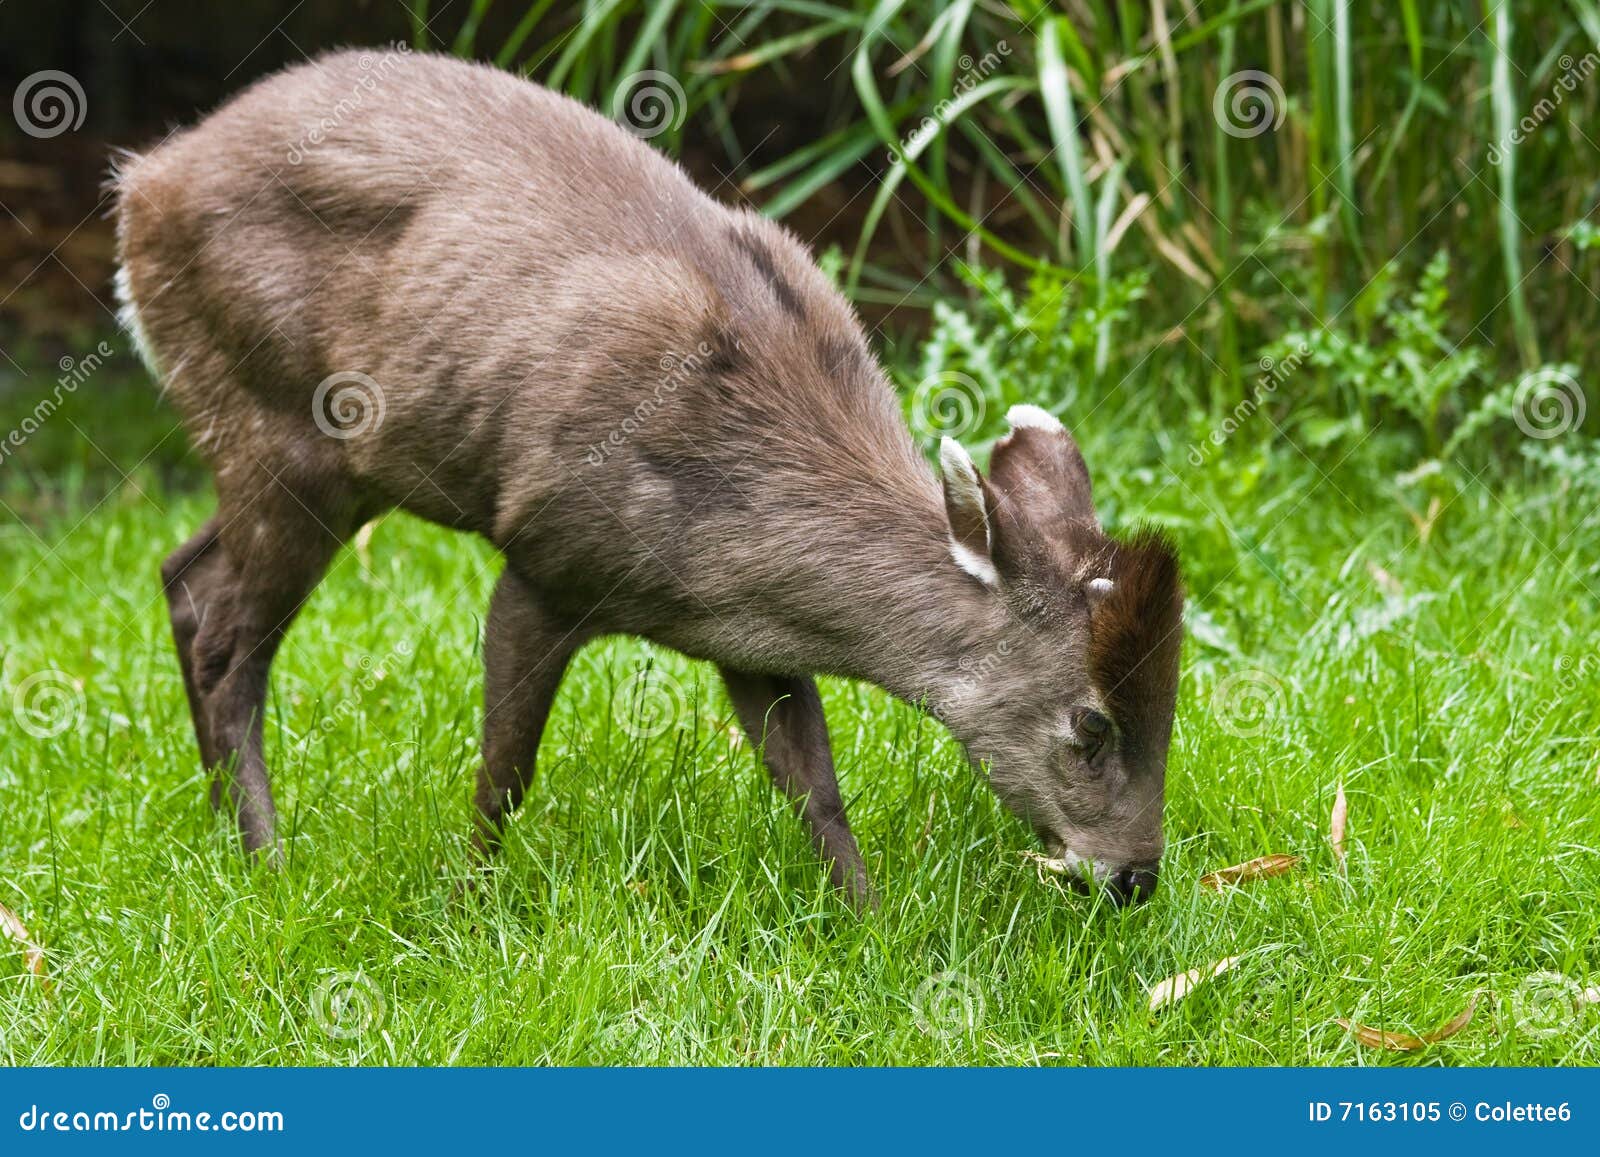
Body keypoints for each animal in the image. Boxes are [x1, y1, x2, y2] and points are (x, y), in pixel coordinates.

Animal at [114, 48, 1183, 909]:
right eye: (1091, 722)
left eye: (1170, 706)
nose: (1133, 876)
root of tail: (141, 184)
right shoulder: (546, 554)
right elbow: (507, 770)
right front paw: (465, 908)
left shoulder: (752, 635)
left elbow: (813, 781)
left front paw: (870, 922)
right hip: (274, 422)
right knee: (229, 639)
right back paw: (268, 863)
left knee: (183, 573)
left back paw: (225, 831)